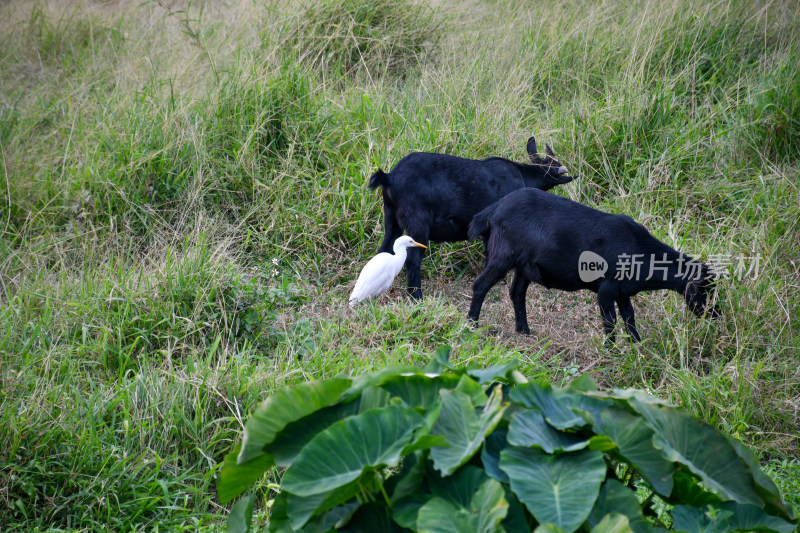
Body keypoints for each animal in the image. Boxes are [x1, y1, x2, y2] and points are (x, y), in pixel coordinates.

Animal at [368, 135, 576, 298]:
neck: (522, 176)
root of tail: (389, 177)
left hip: (391, 218)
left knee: (384, 249)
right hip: (417, 223)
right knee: (413, 259)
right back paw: (417, 295)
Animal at [466, 189, 720, 342]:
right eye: (705, 291)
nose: (715, 315)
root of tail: (492, 210)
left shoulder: (622, 290)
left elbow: (629, 316)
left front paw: (637, 345)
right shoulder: (606, 288)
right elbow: (610, 320)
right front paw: (612, 350)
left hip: (524, 265)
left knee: (517, 292)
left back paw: (524, 331)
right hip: (502, 254)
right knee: (480, 285)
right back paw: (472, 326)